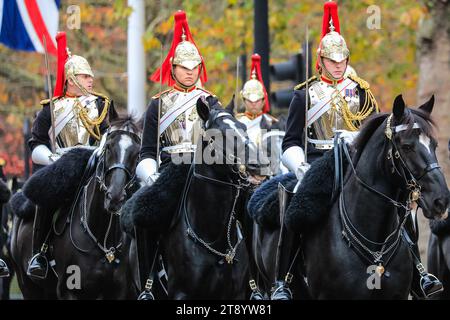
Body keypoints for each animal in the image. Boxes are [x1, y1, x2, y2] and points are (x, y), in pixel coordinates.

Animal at [11, 116, 141, 298]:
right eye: (108, 147)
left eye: (137, 153)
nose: (114, 197)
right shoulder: (69, 290)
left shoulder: (120, 291)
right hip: (28, 285)